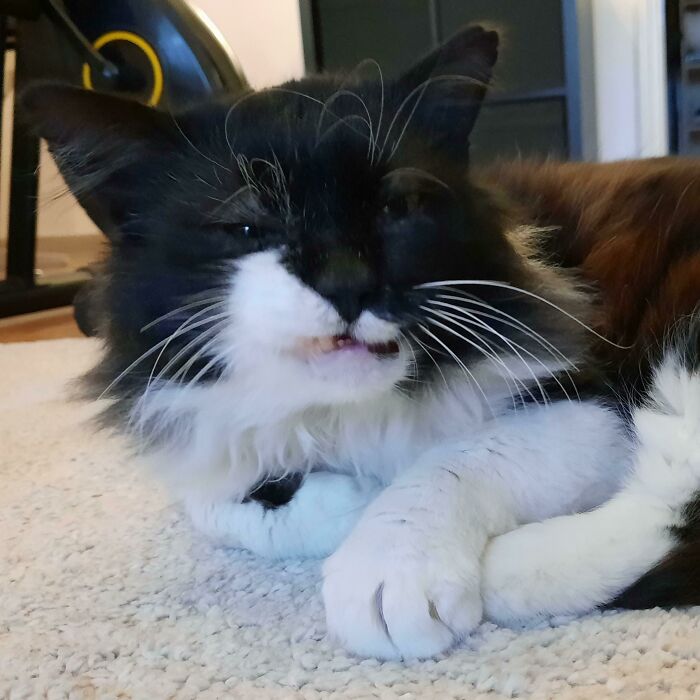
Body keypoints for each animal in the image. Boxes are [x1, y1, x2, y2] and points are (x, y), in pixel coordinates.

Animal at [20, 26, 700, 660]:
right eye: (247, 226)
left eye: (396, 207)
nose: (349, 284)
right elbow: (219, 506)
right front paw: (340, 498)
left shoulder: (588, 406)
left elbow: (452, 461)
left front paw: (384, 560)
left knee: (669, 513)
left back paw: (506, 568)